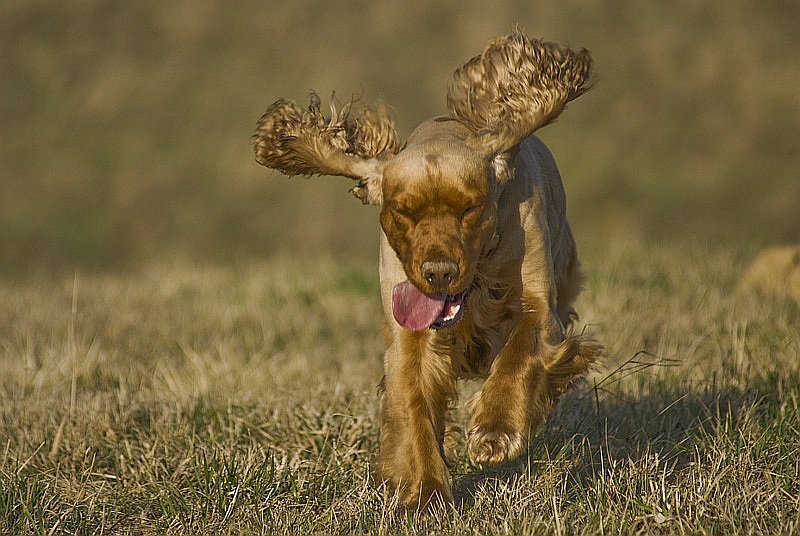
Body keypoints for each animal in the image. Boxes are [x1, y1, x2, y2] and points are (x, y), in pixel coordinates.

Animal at [253, 31, 604, 508]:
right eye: (405, 211)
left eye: (470, 208)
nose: (438, 272)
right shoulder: (408, 337)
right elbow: (413, 407)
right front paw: (424, 493)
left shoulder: (538, 305)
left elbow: (518, 355)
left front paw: (495, 431)